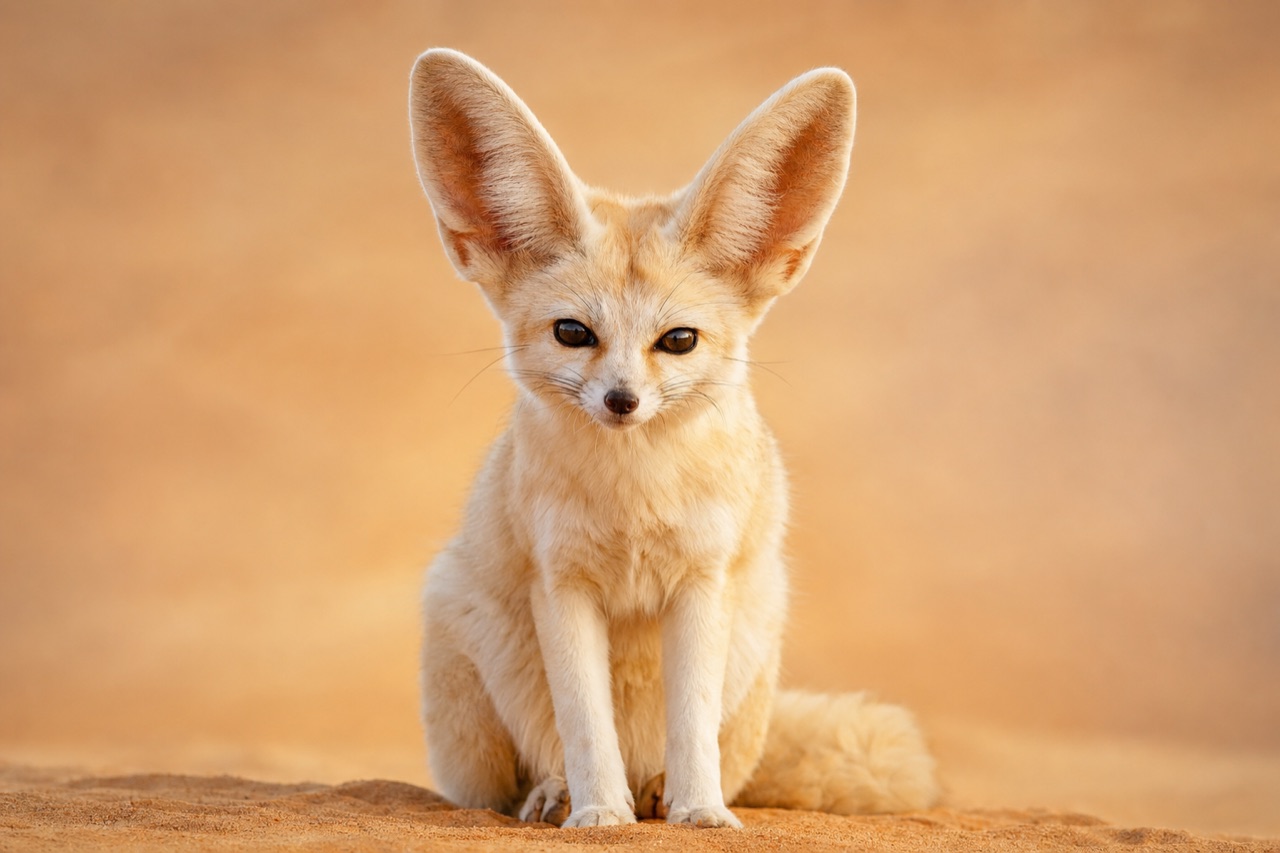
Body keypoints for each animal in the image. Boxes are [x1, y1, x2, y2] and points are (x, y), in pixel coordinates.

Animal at [408, 48, 939, 828]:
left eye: (678, 340)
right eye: (574, 333)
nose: (622, 401)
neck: (635, 498)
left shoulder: (700, 581)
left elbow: (691, 724)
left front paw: (701, 812)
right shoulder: (561, 584)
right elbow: (584, 725)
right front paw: (599, 814)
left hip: (757, 625)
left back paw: (657, 792)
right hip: (464, 634)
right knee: (520, 776)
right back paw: (556, 795)